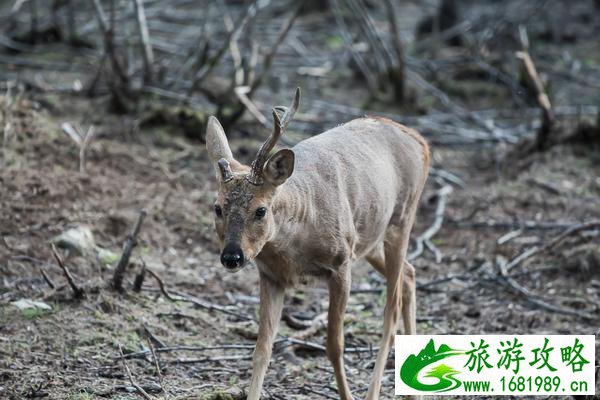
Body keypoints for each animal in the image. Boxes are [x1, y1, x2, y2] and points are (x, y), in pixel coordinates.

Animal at [207, 88, 432, 400]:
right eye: (217, 207)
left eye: (261, 210)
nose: (232, 257)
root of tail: (420, 141)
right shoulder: (271, 275)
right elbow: (262, 350)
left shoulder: (340, 264)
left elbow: (334, 346)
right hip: (370, 238)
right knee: (410, 274)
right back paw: (413, 393)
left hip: (401, 220)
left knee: (391, 311)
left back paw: (373, 392)